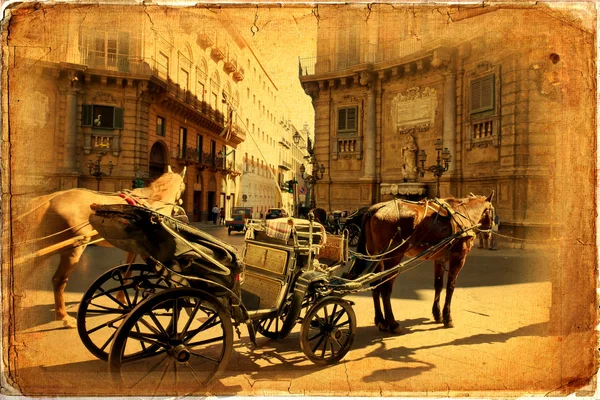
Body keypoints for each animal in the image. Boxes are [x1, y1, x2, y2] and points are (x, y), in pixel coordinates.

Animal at [14, 166, 188, 328]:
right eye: (183, 186)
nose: (180, 205)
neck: (153, 200)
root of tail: (49, 198)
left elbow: (127, 271)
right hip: (72, 248)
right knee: (58, 280)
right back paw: (63, 316)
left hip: (45, 246)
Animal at [350, 192, 494, 332]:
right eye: (492, 211)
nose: (489, 233)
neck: (463, 214)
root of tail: (374, 209)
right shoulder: (458, 258)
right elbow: (450, 287)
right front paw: (448, 318)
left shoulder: (440, 259)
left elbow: (438, 285)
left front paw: (437, 314)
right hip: (393, 257)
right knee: (385, 288)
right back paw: (392, 323)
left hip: (376, 256)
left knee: (375, 286)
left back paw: (380, 320)